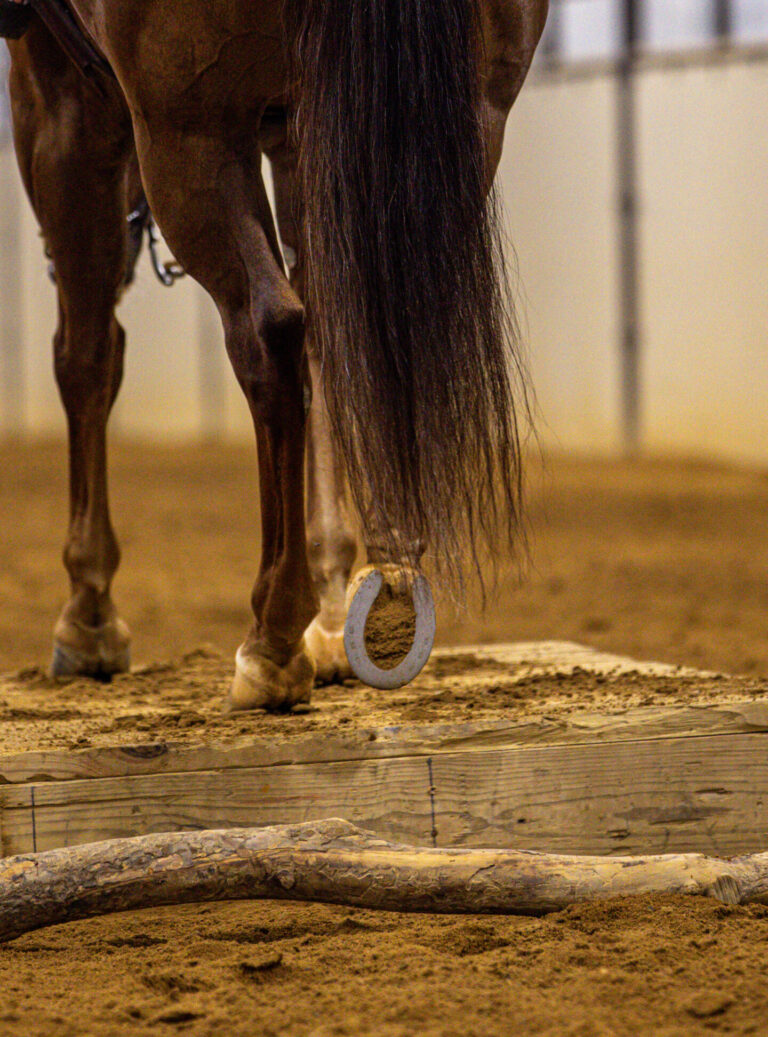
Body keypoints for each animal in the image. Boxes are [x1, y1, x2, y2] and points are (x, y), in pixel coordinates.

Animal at [4, 0, 548, 711]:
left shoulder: (61, 105)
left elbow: (86, 359)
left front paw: (89, 616)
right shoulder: (298, 130)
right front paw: (333, 610)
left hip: (190, 135)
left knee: (269, 333)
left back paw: (273, 638)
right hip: (468, 116)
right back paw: (388, 585)